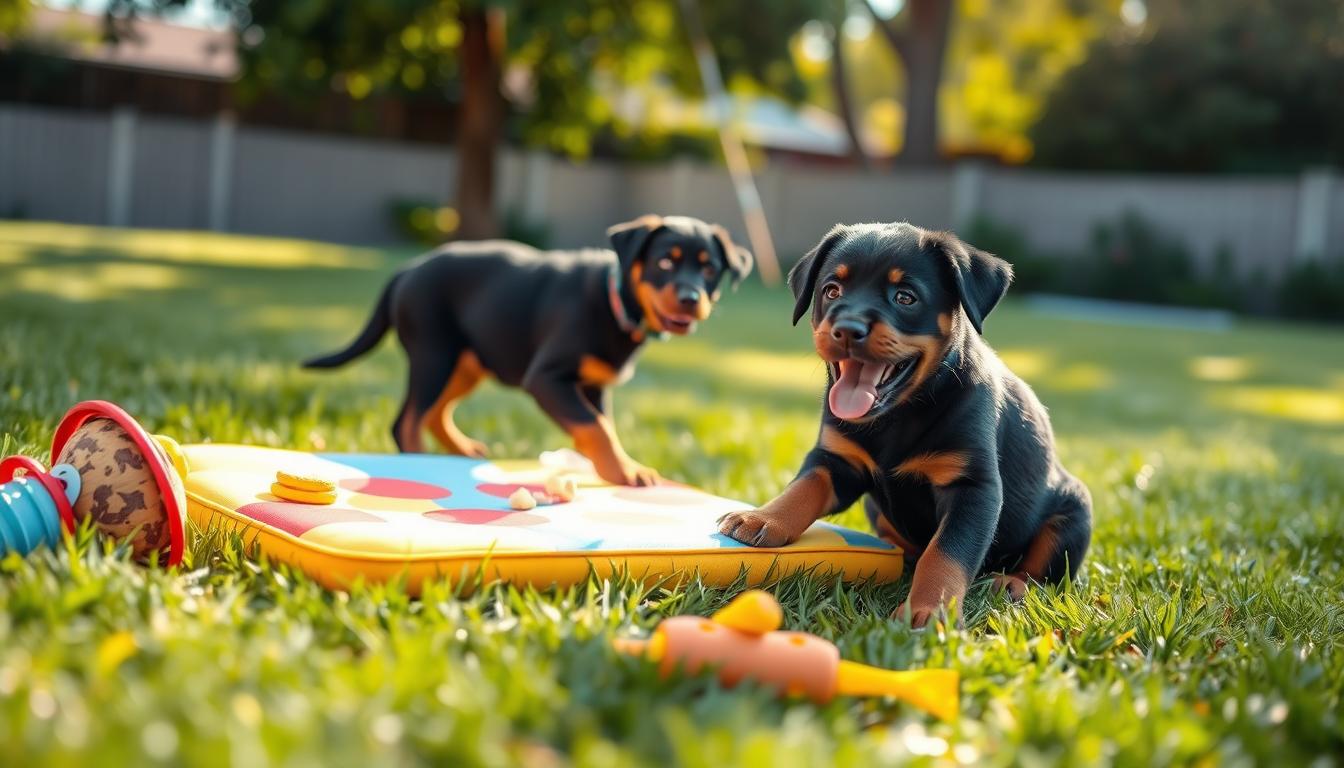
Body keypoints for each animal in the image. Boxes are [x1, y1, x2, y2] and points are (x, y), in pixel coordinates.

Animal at [301, 213, 758, 484]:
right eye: (665, 262)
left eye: (710, 270)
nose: (690, 298)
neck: (615, 303)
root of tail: (406, 270)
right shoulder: (547, 378)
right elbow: (595, 426)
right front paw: (625, 471)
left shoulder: (594, 385)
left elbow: (600, 426)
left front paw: (613, 466)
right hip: (435, 354)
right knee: (408, 421)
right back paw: (420, 462)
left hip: (467, 362)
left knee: (435, 412)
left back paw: (461, 452)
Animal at [720, 220, 1085, 624]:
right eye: (831, 290)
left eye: (905, 297)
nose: (847, 328)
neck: (896, 416)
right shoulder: (835, 460)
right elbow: (803, 488)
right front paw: (763, 519)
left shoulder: (973, 488)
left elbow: (946, 553)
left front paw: (929, 610)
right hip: (876, 510)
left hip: (1073, 513)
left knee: (1043, 572)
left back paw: (1011, 584)